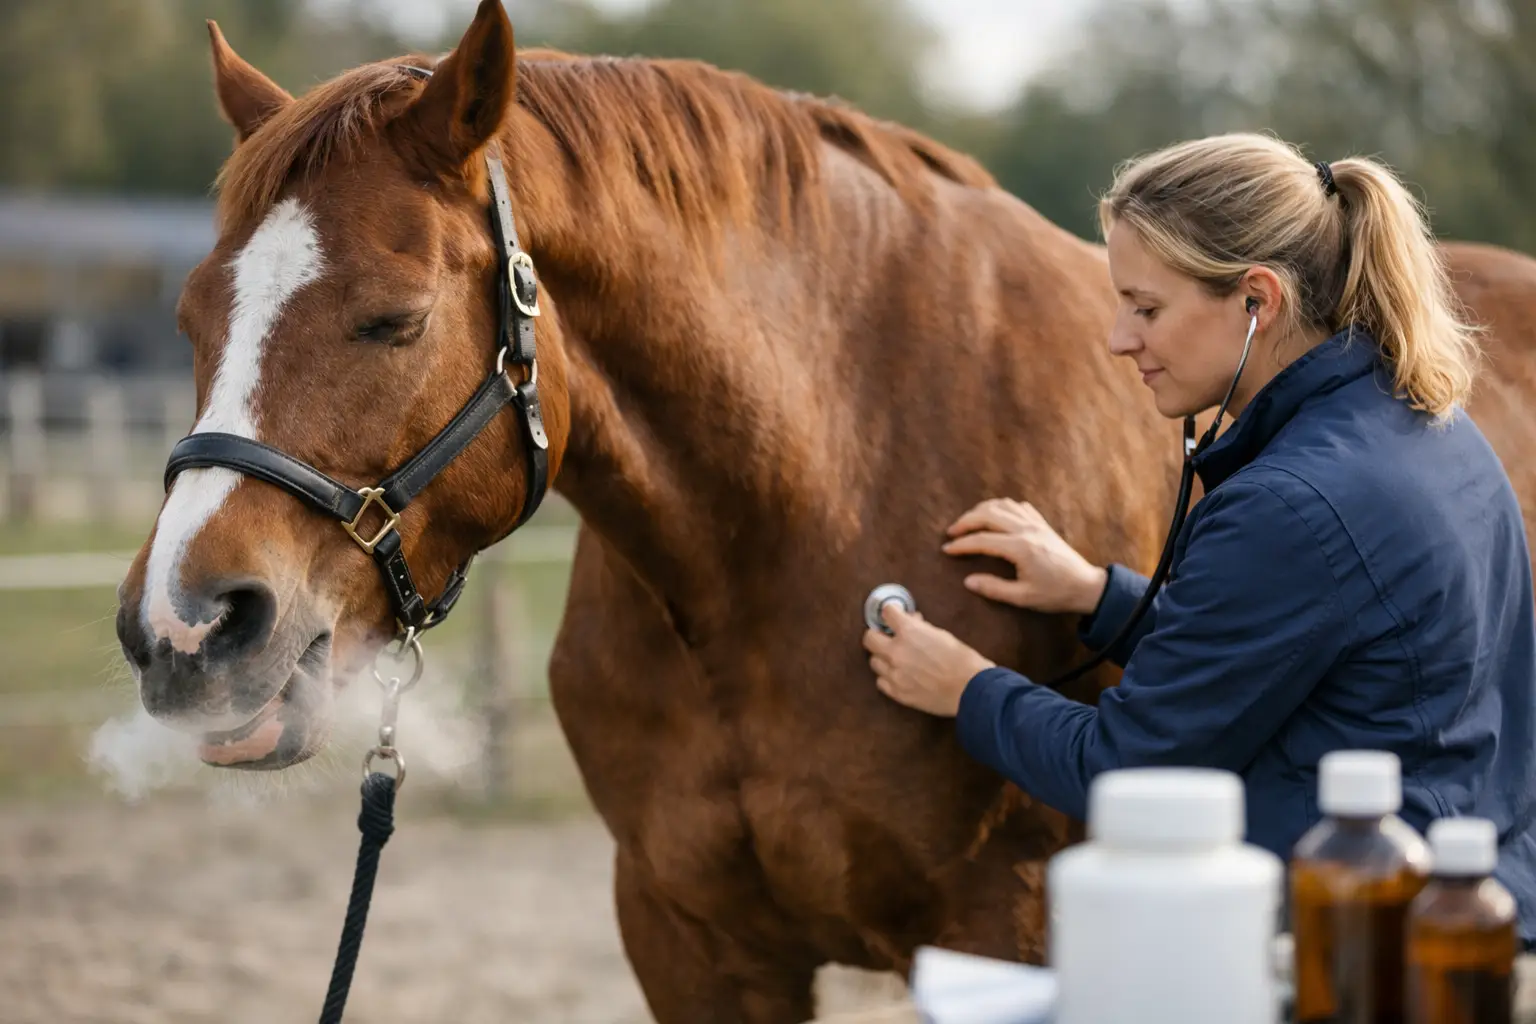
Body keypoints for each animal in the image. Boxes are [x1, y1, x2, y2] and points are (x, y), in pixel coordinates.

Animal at [112, 2, 1536, 1021]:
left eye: (394, 318)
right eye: (187, 315)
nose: (186, 631)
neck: (799, 520)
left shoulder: (1004, 929)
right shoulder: (691, 940)